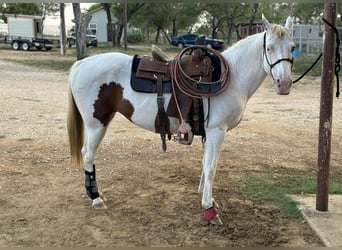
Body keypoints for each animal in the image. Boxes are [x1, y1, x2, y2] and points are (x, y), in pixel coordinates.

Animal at [67, 14, 296, 224]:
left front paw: (205, 196)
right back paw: (96, 198)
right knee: (88, 154)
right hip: (97, 123)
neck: (233, 79)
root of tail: (81, 63)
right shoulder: (216, 131)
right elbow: (211, 168)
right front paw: (209, 208)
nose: (284, 84)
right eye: (269, 48)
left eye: (292, 47)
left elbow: (205, 164)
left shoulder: (210, 133)